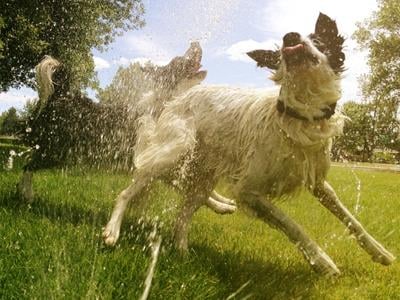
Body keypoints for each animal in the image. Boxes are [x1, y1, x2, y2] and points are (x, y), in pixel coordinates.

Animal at [102, 14, 394, 276]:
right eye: (281, 51)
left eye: (319, 41)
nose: (289, 35)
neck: (298, 116)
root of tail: (177, 98)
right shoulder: (247, 191)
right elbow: (291, 224)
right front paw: (322, 261)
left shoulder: (317, 181)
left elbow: (349, 217)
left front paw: (379, 252)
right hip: (174, 149)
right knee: (128, 191)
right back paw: (112, 231)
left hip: (202, 175)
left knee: (182, 217)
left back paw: (183, 253)